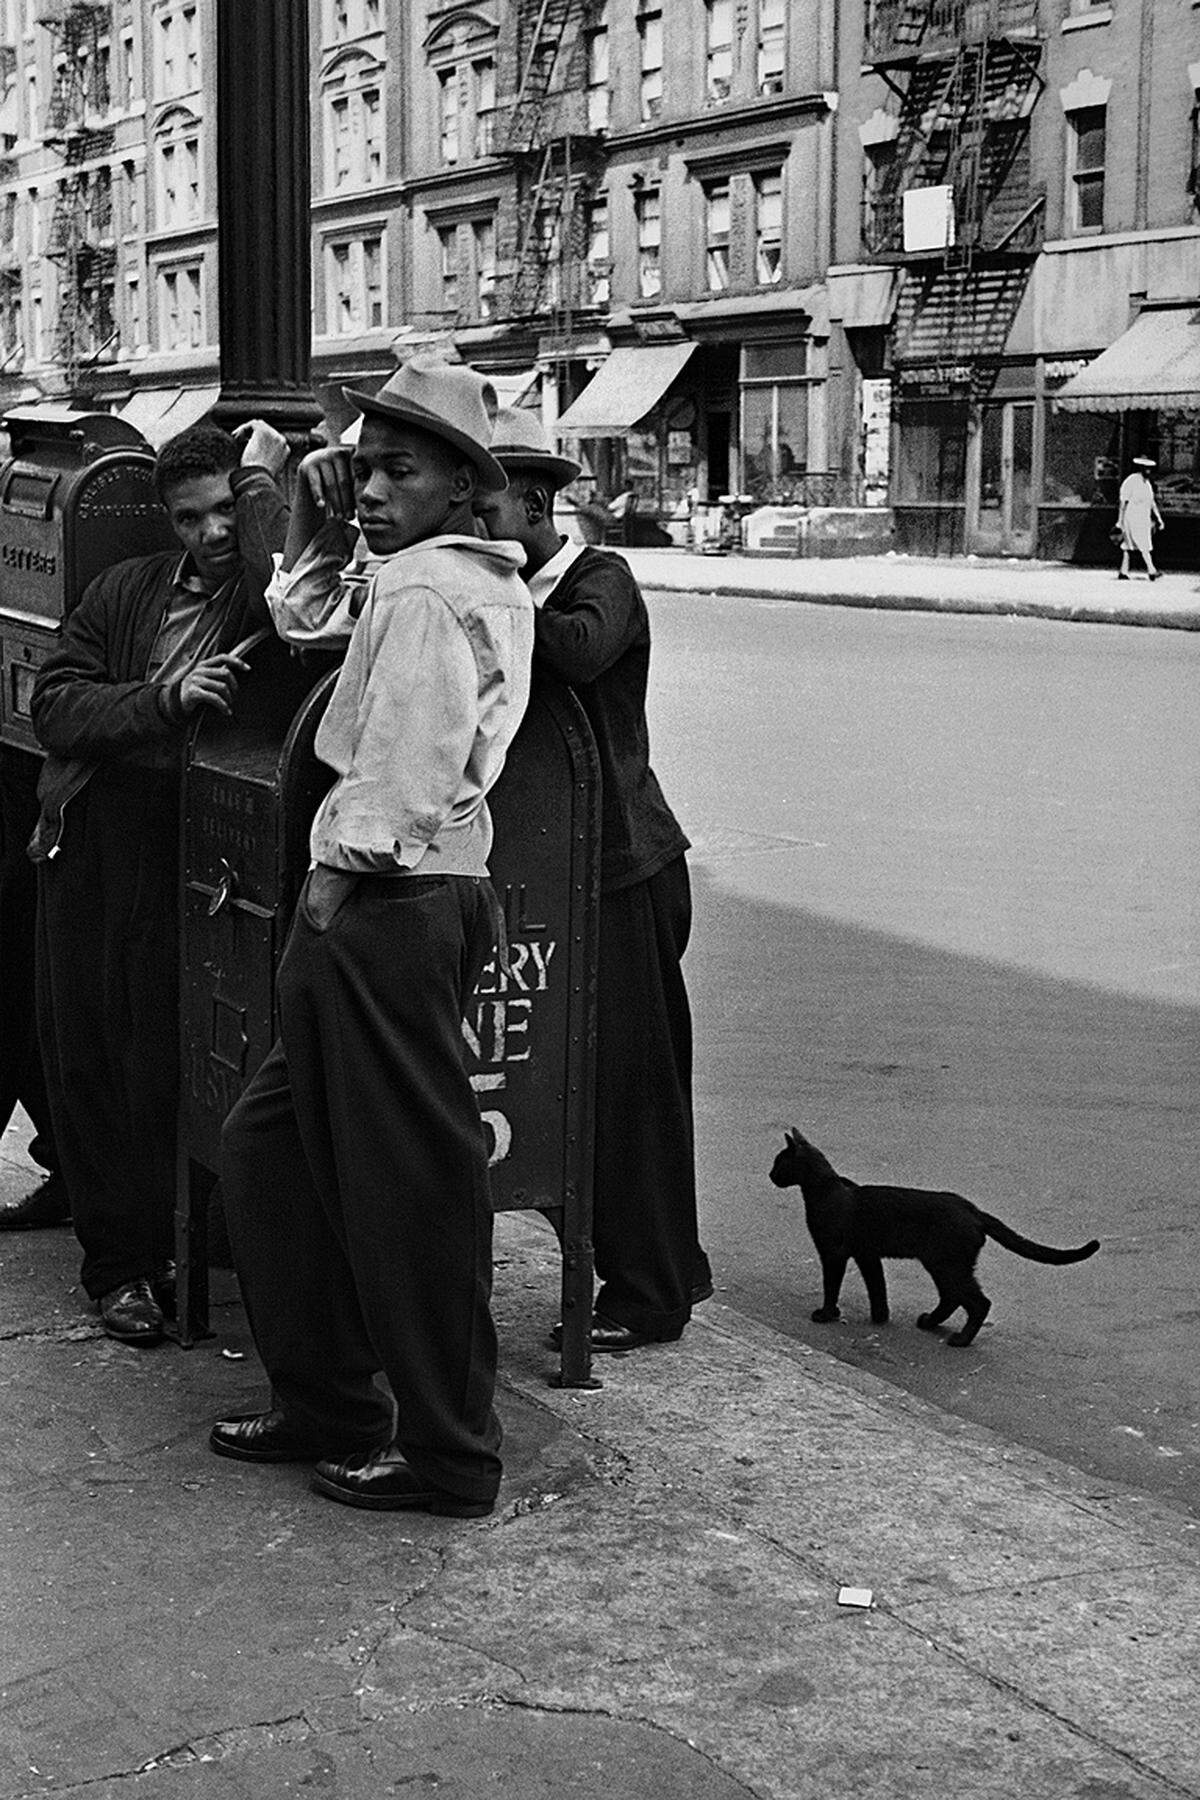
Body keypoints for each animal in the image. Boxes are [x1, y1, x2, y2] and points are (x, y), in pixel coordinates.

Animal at [770, 1130, 1101, 1346]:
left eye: (778, 1163)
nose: (770, 1175)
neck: (826, 1190)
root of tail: (974, 1209)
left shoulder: (834, 1253)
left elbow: (832, 1285)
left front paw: (827, 1314)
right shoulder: (867, 1254)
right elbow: (877, 1287)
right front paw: (880, 1318)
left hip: (947, 1264)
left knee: (978, 1302)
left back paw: (960, 1339)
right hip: (943, 1264)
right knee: (953, 1297)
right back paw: (929, 1322)